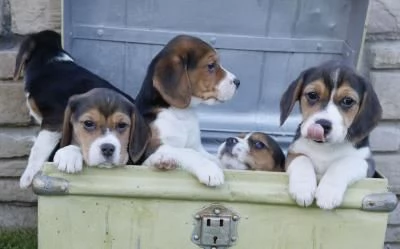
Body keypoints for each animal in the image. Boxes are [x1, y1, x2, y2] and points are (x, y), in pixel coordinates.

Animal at [134, 35, 241, 187]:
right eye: (211, 65)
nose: (238, 82)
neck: (181, 114)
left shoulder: (196, 145)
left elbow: (210, 157)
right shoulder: (151, 147)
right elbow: (189, 153)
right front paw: (210, 170)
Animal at [280, 60, 382, 210]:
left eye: (347, 101)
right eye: (312, 95)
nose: (322, 124)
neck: (325, 147)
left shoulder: (367, 162)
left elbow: (344, 163)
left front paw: (328, 193)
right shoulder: (293, 152)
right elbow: (302, 159)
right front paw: (303, 188)